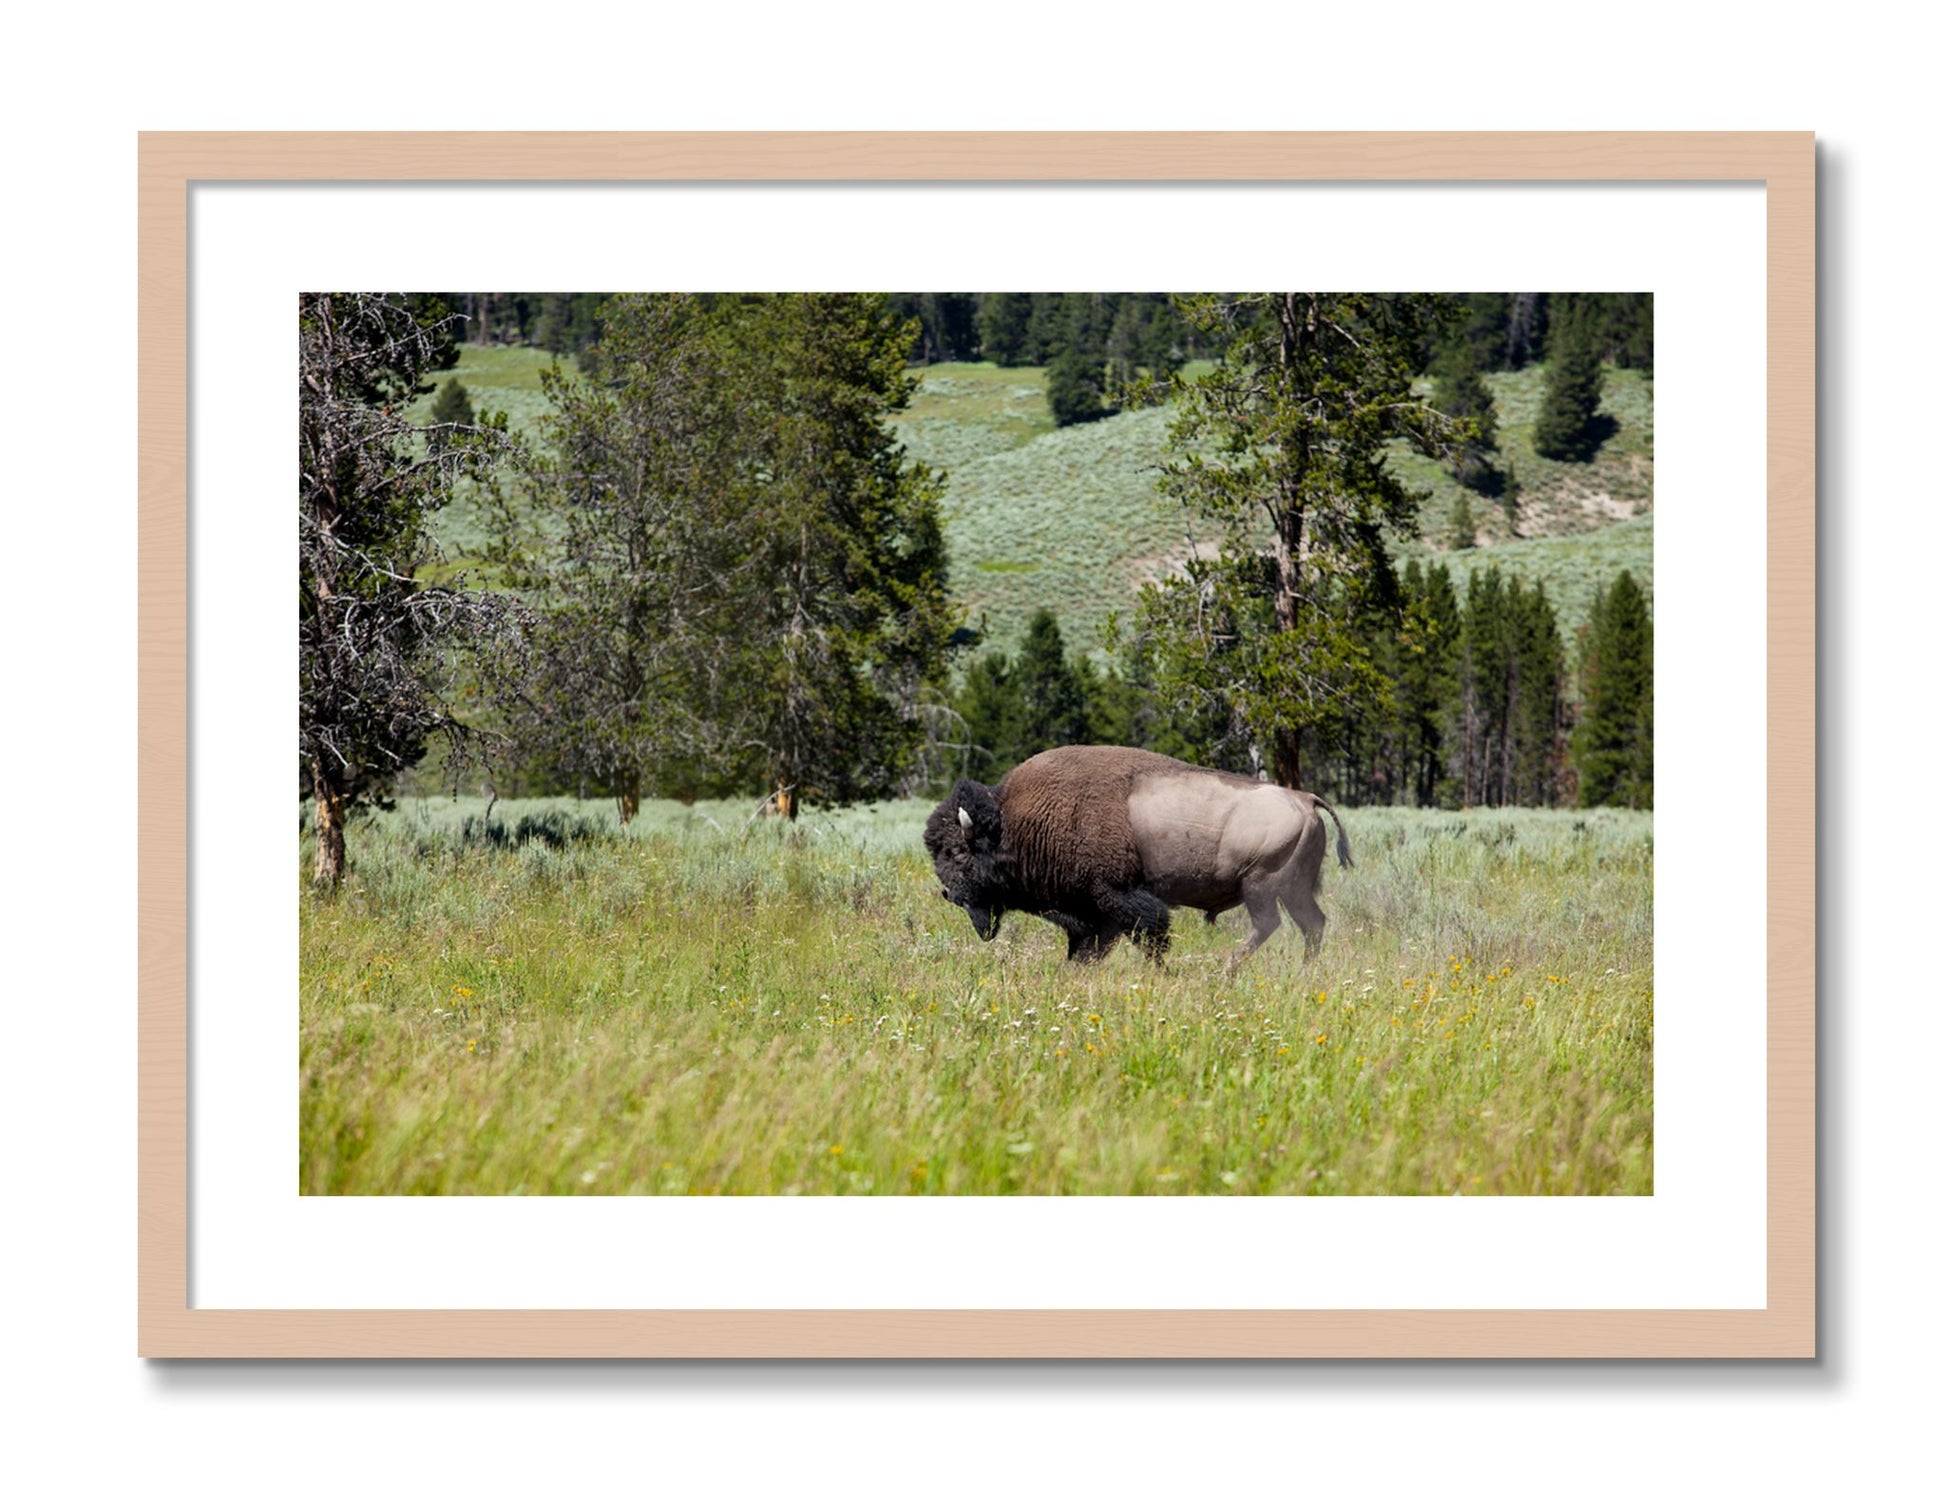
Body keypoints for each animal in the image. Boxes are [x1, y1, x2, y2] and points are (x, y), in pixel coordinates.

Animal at [923, 745, 1352, 968]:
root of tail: (1305, 798)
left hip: (1261, 885)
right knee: (1312, 924)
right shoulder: (1094, 913)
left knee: (1270, 925)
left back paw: (1226, 970)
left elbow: (1149, 936)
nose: (948, 893)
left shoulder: (1118, 898)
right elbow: (1088, 948)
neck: (1014, 822)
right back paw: (1302, 971)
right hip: (1293, 889)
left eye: (957, 852)